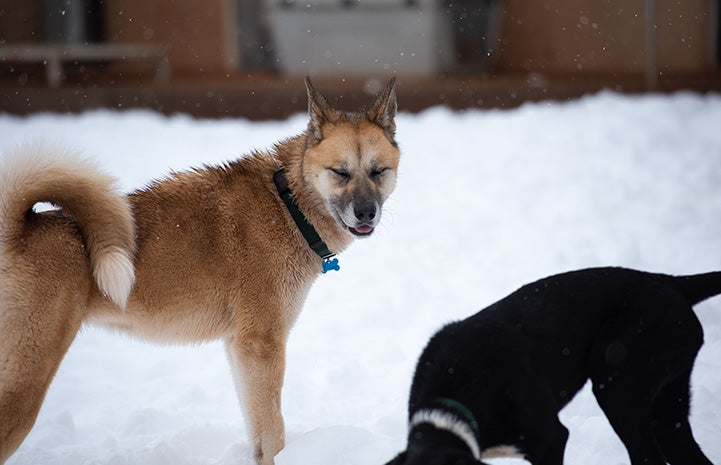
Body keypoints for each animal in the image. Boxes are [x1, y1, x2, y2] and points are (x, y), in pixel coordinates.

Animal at [0, 78, 400, 462]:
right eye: (340, 172)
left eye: (378, 171)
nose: (366, 212)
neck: (288, 205)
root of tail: (16, 230)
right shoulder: (261, 344)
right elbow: (273, 432)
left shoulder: (238, 347)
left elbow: (257, 433)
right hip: (25, 384)